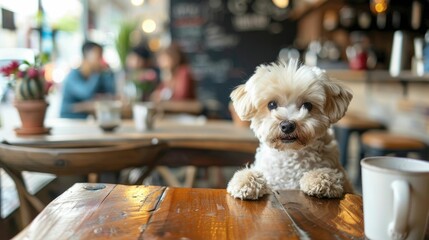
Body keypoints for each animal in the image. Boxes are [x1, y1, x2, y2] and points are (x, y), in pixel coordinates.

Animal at [226, 60, 352, 201]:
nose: (287, 126)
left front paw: (318, 180)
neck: (289, 154)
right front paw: (246, 181)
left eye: (307, 105)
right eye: (271, 104)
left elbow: (326, 174)